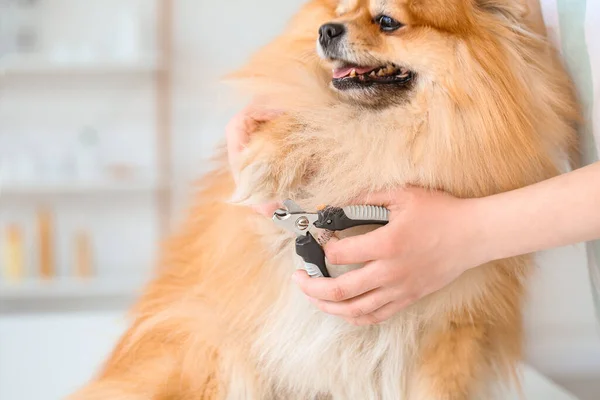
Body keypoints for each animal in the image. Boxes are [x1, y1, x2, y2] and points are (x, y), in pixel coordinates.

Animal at [69, 0, 576, 400]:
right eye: (341, 11)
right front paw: (271, 154)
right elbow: (318, 122)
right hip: (213, 350)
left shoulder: (453, 331)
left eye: (387, 21)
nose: (326, 30)